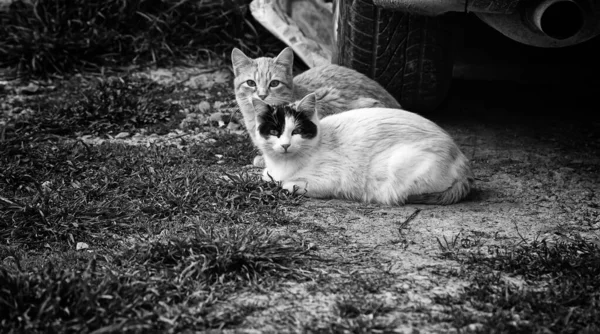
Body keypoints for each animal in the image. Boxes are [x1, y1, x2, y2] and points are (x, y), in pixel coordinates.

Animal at [250, 92, 474, 205]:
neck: (283, 165)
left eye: (296, 131)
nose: (286, 145)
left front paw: (284, 183)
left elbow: (288, 184)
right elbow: (266, 176)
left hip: (398, 166)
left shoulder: (329, 180)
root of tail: (463, 162)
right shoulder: (268, 172)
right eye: (275, 131)